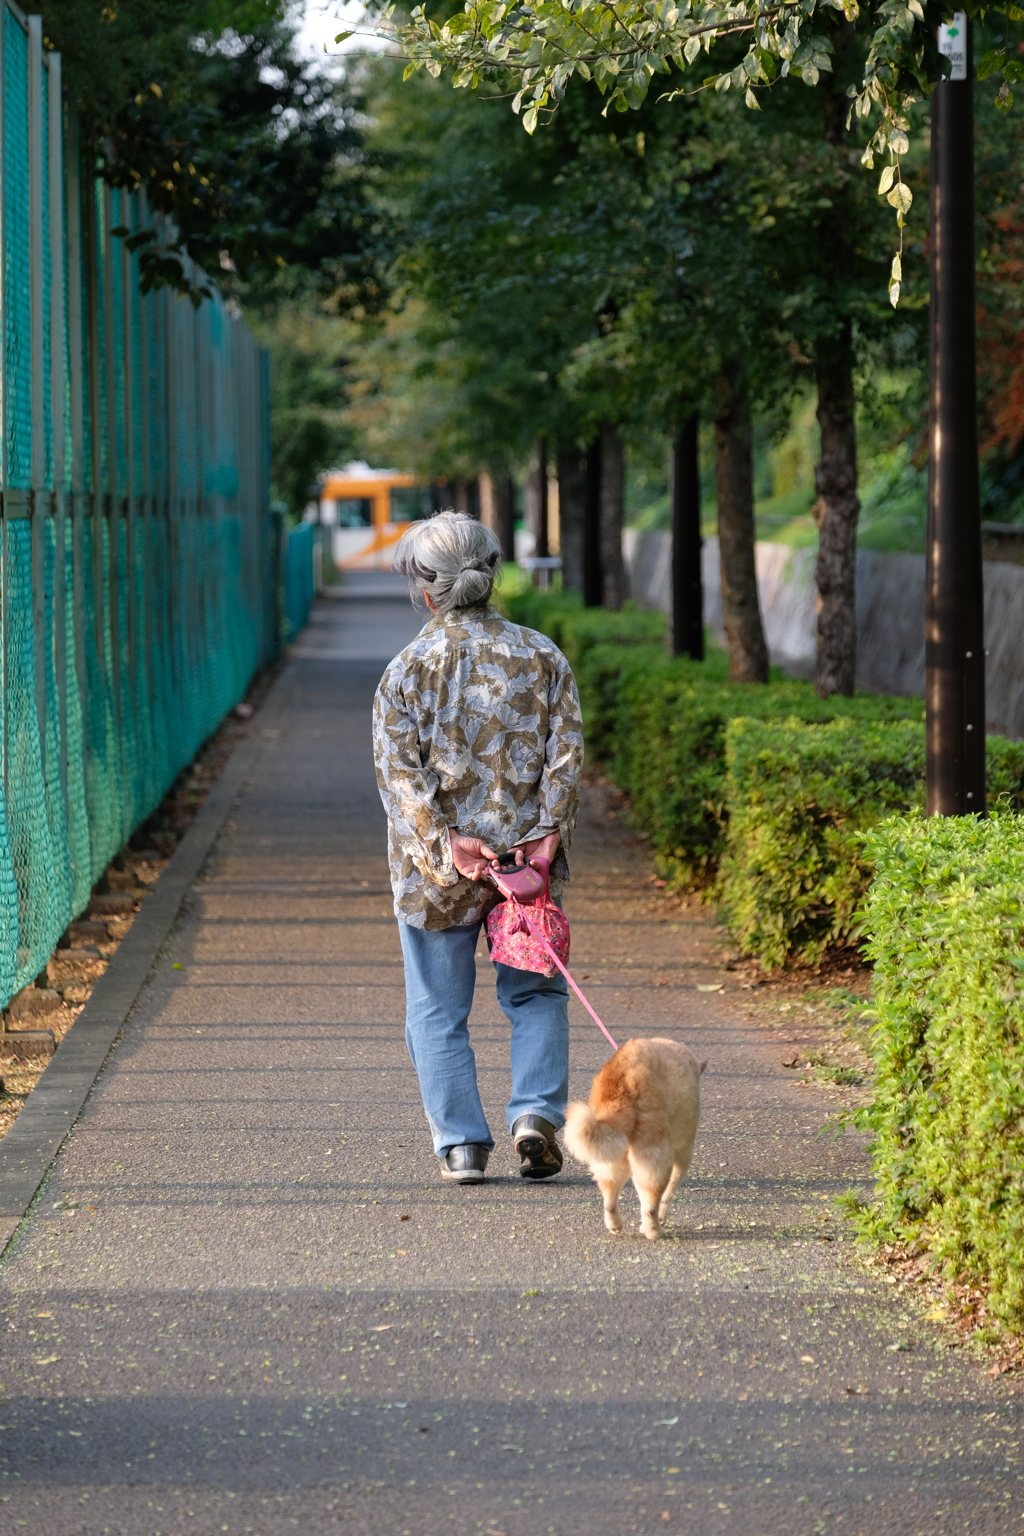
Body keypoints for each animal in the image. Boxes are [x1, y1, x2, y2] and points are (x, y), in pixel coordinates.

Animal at [568, 1038, 706, 1241]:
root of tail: (624, 1083)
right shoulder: (683, 1152)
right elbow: (667, 1195)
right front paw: (659, 1219)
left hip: (612, 1159)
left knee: (610, 1200)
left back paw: (615, 1224)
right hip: (656, 1157)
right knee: (651, 1205)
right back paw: (655, 1231)